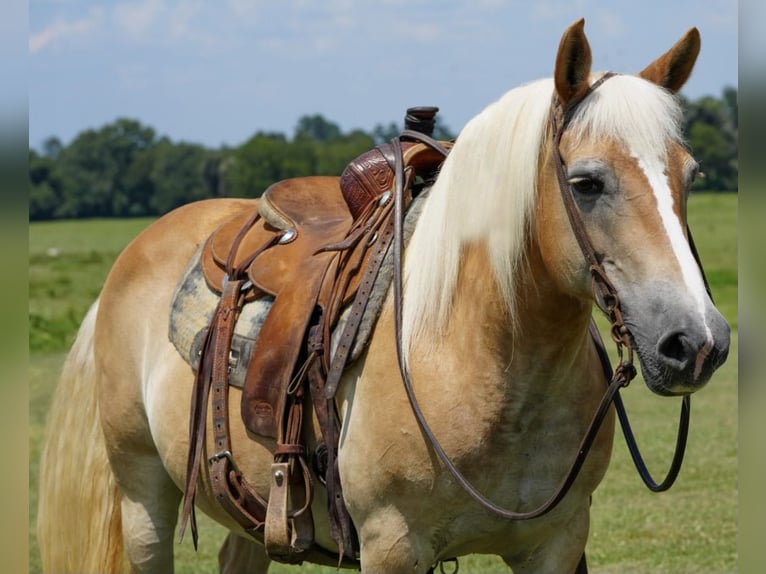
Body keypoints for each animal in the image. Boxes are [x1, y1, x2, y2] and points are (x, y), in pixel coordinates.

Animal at [37, 18, 732, 574]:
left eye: (691, 176)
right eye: (586, 182)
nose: (695, 343)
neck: (474, 356)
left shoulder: (556, 544)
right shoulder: (393, 547)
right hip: (142, 498)